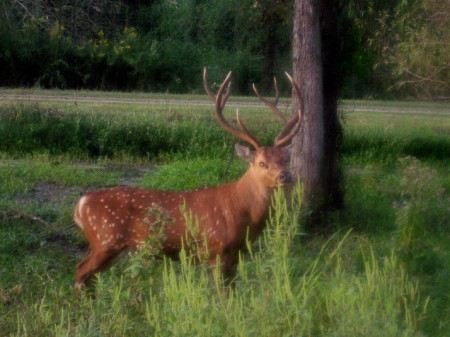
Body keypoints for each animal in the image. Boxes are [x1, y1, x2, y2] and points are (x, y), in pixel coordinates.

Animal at [74, 68, 302, 288]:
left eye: (284, 159)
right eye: (262, 163)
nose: (286, 175)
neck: (242, 212)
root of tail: (80, 205)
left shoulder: (236, 255)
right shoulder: (215, 249)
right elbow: (221, 294)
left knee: (89, 277)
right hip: (105, 239)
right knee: (80, 270)